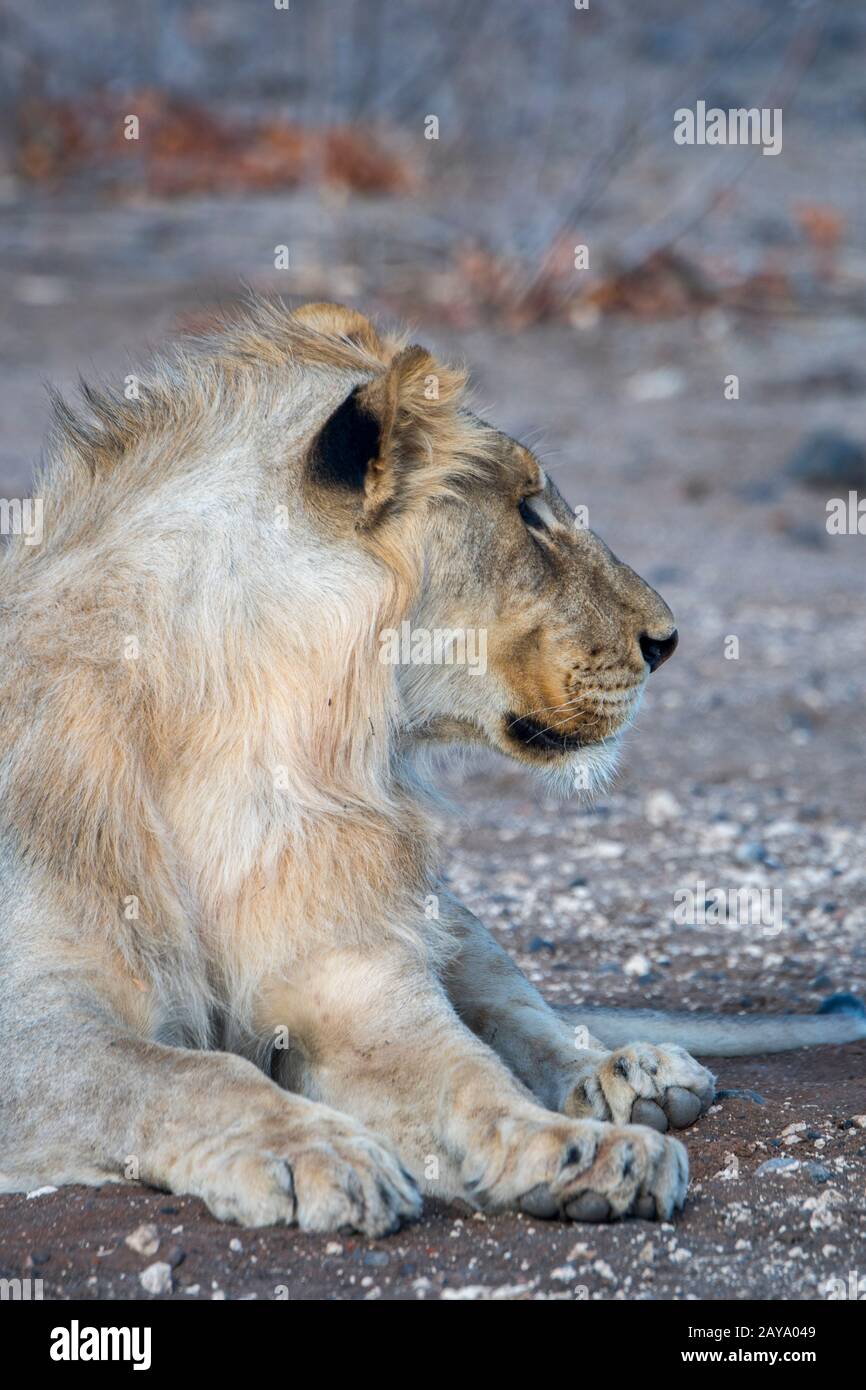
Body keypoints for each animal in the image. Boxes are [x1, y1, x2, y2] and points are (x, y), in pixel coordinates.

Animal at [0, 299, 862, 1236]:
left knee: (522, 1013)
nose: (667, 642)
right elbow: (185, 1073)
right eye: (527, 514)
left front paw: (577, 1152)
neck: (259, 744)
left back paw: (627, 1077)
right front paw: (319, 1150)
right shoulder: (36, 1020)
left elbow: (468, 1075)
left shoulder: (357, 981)